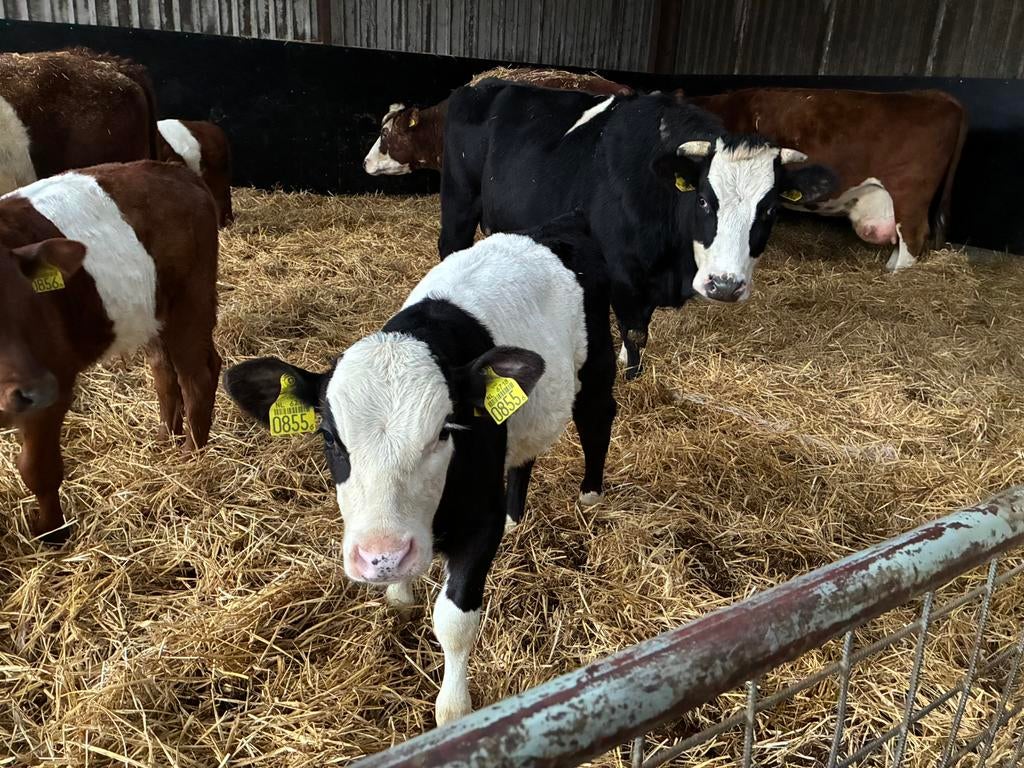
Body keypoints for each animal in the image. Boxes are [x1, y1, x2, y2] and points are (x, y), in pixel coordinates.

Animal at [0, 161, 221, 543]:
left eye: (30, 301)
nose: (34, 389)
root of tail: (176, 171)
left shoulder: (55, 380)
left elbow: (38, 469)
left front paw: (51, 534)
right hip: (152, 312)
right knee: (165, 371)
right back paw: (166, 437)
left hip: (191, 299)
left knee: (198, 376)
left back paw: (192, 455)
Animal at [223, 213, 616, 725]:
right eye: (329, 436)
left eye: (445, 430)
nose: (381, 556)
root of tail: (556, 227)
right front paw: (398, 594)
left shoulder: (479, 524)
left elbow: (454, 622)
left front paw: (454, 709)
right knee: (524, 457)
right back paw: (517, 518)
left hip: (598, 363)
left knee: (598, 417)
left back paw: (590, 496)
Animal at [439, 81, 838, 377]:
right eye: (704, 200)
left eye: (770, 209)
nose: (724, 285)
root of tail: (482, 84)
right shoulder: (624, 273)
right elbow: (634, 333)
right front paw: (631, 376)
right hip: (459, 201)